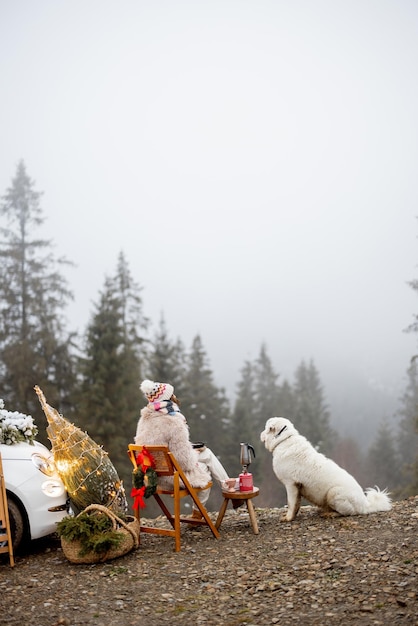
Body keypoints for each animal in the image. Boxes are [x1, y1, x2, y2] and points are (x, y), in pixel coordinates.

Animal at [262, 416, 392, 520]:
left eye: (266, 428)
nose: (261, 434)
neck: (283, 440)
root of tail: (365, 505)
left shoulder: (291, 484)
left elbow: (291, 504)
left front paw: (288, 518)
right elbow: (296, 505)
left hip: (333, 493)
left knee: (348, 512)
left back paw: (330, 514)